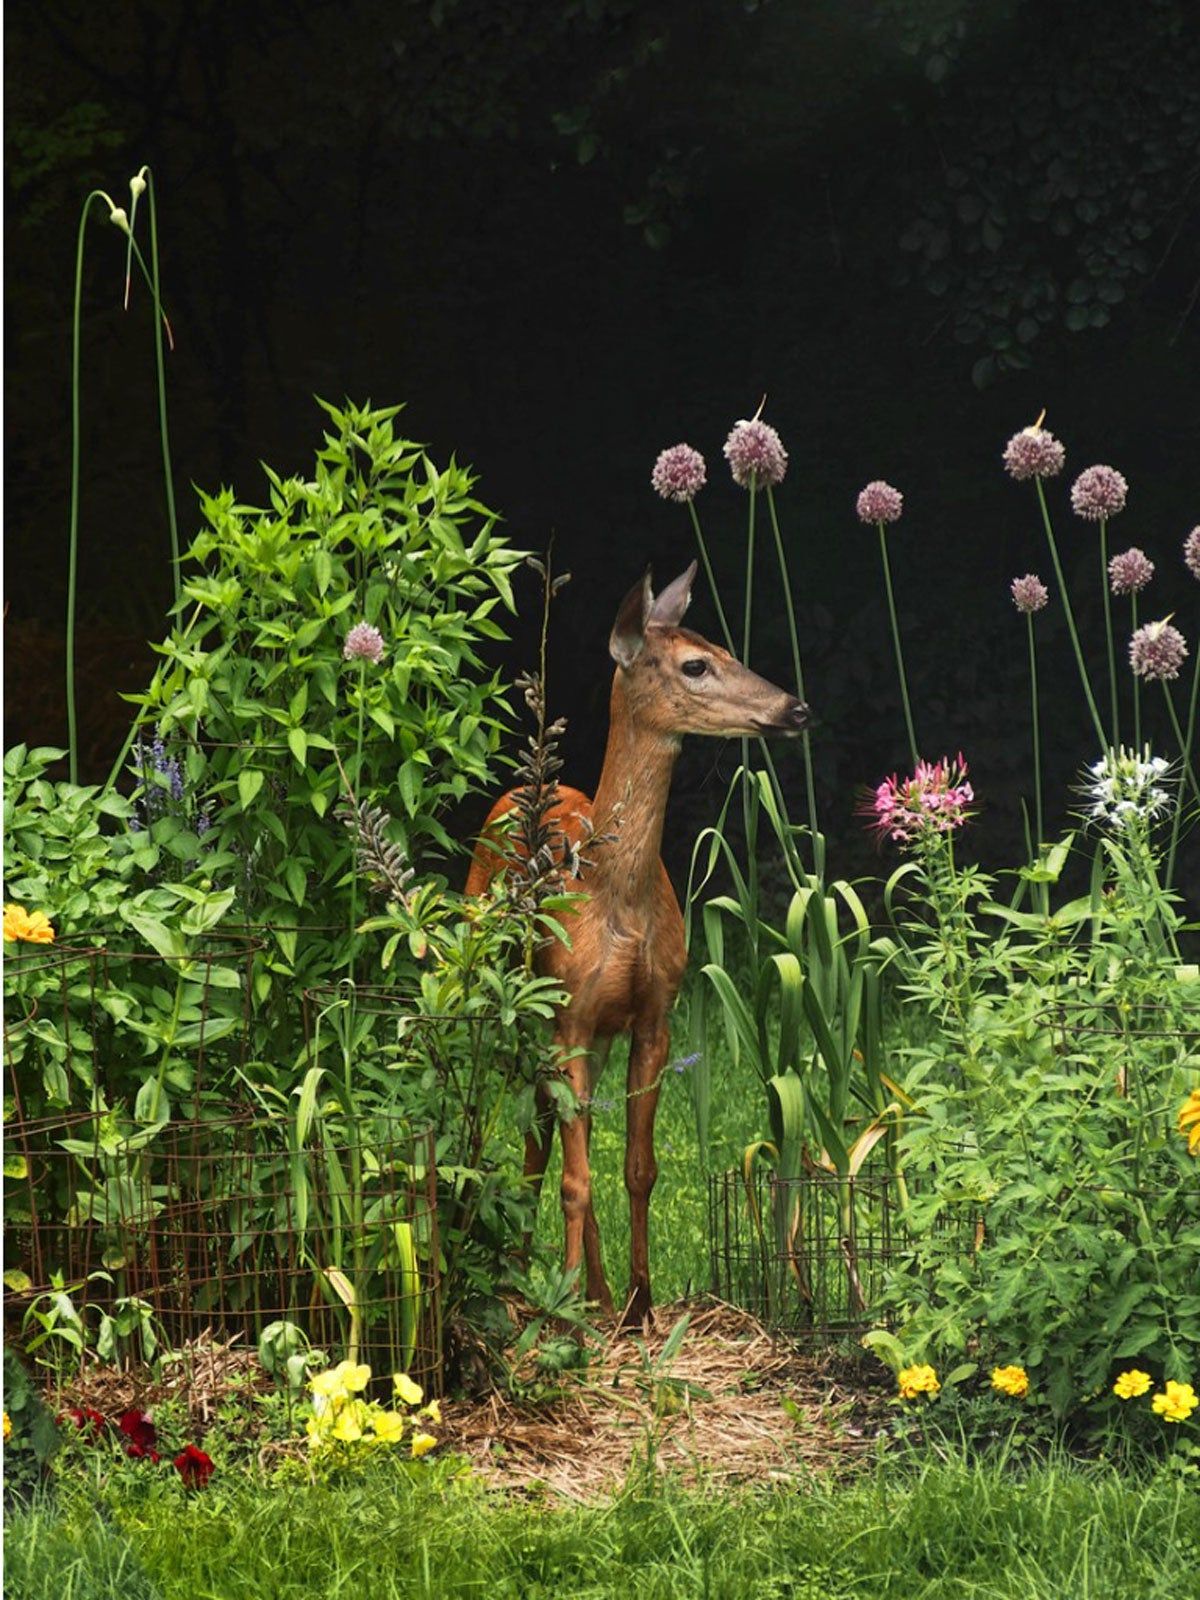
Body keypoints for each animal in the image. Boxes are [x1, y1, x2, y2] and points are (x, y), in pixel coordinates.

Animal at [464, 563, 812, 1324]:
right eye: (694, 665)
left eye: (723, 646)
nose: (795, 708)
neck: (613, 900)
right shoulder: (568, 1013)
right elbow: (576, 1178)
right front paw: (566, 1313)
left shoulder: (654, 1013)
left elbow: (638, 1169)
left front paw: (638, 1304)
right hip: (509, 1003)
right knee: (528, 1135)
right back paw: (533, 1277)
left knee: (565, 1131)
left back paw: (587, 1288)